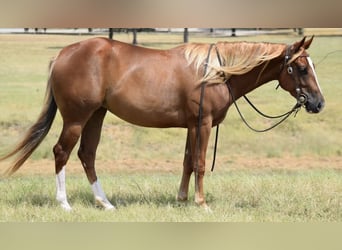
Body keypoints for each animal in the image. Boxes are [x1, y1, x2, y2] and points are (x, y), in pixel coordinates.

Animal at [1, 36, 324, 210]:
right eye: (301, 68)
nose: (318, 103)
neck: (216, 72)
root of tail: (62, 55)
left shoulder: (192, 126)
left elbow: (187, 161)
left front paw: (182, 199)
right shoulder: (202, 124)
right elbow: (199, 163)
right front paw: (201, 203)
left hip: (96, 115)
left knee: (86, 155)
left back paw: (104, 202)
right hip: (77, 118)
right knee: (62, 152)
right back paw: (64, 203)